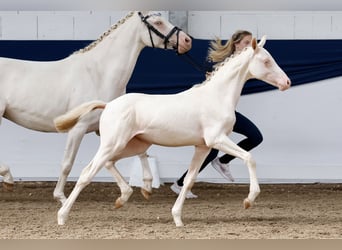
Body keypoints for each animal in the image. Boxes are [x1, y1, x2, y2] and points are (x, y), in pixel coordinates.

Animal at [0, 10, 192, 204]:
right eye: (158, 22)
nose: (187, 41)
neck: (98, 74)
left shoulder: (112, 127)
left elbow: (135, 153)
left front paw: (145, 187)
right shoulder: (78, 128)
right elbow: (67, 163)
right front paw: (61, 198)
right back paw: (8, 178)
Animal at [54, 35, 290, 227]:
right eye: (267, 61)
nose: (286, 82)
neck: (216, 97)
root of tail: (108, 105)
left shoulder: (203, 147)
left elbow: (189, 180)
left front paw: (177, 218)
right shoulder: (217, 139)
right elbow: (249, 158)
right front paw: (249, 200)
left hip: (133, 145)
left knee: (109, 164)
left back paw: (126, 196)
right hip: (113, 144)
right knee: (87, 173)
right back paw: (62, 216)